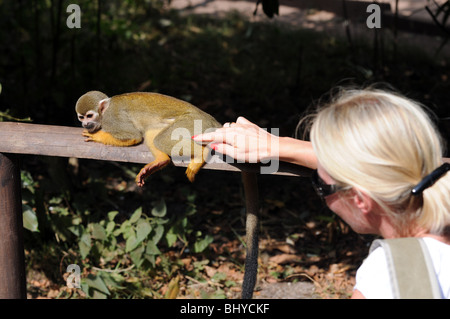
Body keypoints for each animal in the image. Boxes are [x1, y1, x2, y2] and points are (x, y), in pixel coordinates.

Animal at [76, 92, 260, 300]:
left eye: (89, 116)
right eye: (81, 117)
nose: (85, 124)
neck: (104, 112)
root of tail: (213, 122)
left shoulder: (112, 120)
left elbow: (133, 137)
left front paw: (97, 136)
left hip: (191, 125)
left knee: (162, 138)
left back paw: (200, 154)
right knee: (153, 133)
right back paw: (161, 160)